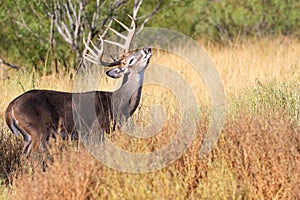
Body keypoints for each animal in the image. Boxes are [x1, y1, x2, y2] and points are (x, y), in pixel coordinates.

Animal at [3, 16, 151, 156]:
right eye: (131, 60)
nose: (148, 49)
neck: (119, 103)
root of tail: (11, 108)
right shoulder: (97, 130)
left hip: (28, 136)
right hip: (38, 131)